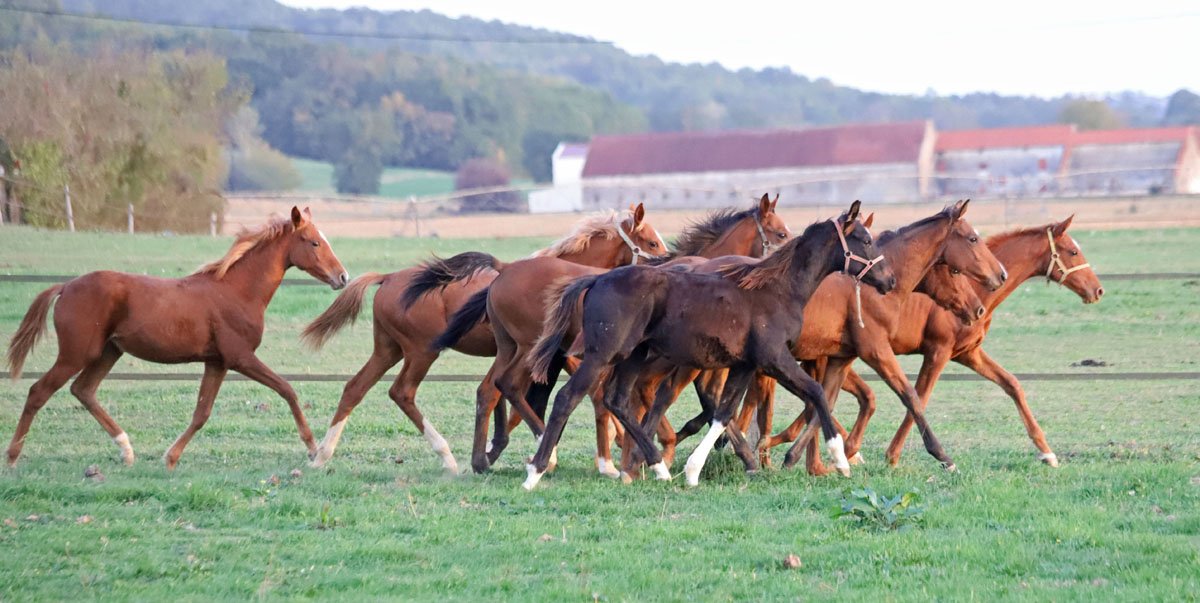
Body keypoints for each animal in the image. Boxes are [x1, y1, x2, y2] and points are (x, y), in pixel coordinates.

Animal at [5, 207, 349, 469]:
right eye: (313, 242)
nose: (342, 277)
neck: (236, 290)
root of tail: (65, 286)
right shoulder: (240, 357)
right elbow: (287, 389)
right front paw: (313, 449)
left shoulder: (217, 362)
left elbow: (201, 413)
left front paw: (170, 458)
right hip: (76, 353)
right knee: (39, 391)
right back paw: (12, 457)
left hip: (108, 352)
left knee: (83, 390)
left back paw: (126, 450)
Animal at [300, 204, 670, 474]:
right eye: (652, 242)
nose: (666, 265)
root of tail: (389, 277)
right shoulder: (566, 356)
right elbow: (586, 395)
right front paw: (610, 455)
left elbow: (497, 398)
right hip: (421, 353)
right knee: (402, 392)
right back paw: (448, 455)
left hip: (388, 350)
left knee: (355, 388)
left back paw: (322, 455)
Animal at [424, 195, 791, 476]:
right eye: (781, 233)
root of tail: (503, 271)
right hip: (529, 351)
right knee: (509, 387)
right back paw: (538, 452)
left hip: (511, 349)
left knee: (492, 390)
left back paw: (489, 457)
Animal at [525, 201, 896, 489]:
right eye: (864, 239)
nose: (889, 280)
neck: (777, 289)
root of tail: (597, 278)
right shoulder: (775, 358)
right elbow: (817, 393)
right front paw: (841, 460)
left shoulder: (746, 364)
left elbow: (722, 412)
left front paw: (693, 471)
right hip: (603, 355)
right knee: (568, 398)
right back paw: (536, 471)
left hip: (634, 356)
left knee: (617, 401)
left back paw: (658, 468)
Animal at [791, 216, 1103, 469]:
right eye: (1073, 251)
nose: (1097, 290)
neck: (974, 291)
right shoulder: (937, 352)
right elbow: (919, 397)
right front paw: (894, 455)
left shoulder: (968, 354)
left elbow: (1012, 385)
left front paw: (1046, 452)